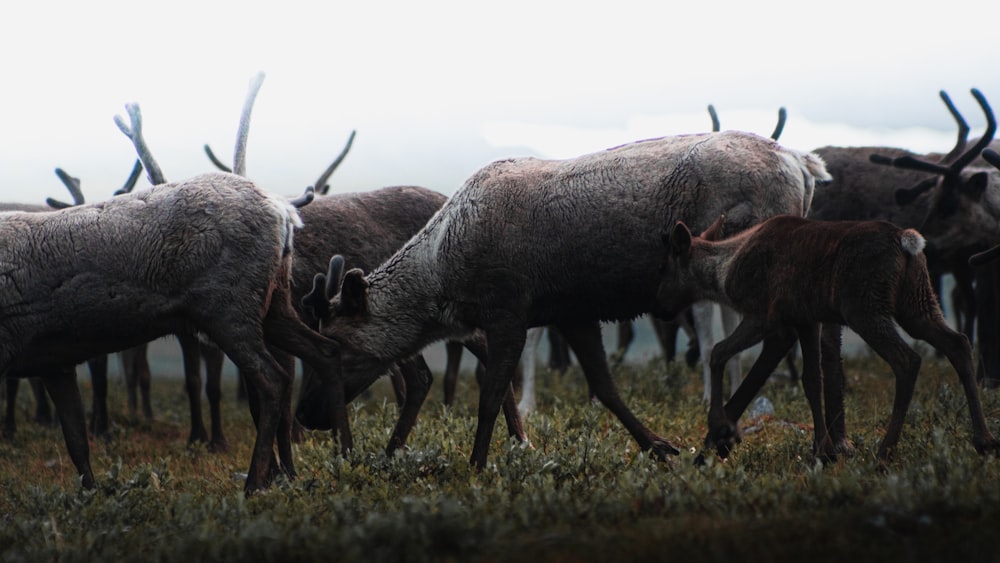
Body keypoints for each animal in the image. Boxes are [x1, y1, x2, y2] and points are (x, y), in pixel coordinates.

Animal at [656, 214, 1000, 464]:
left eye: (668, 268)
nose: (662, 309)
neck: (723, 274)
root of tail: (906, 242)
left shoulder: (766, 315)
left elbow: (717, 352)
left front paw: (721, 428)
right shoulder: (806, 319)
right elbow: (812, 380)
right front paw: (824, 450)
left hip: (865, 307)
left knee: (907, 359)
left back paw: (886, 450)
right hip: (917, 301)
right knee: (958, 343)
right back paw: (983, 440)